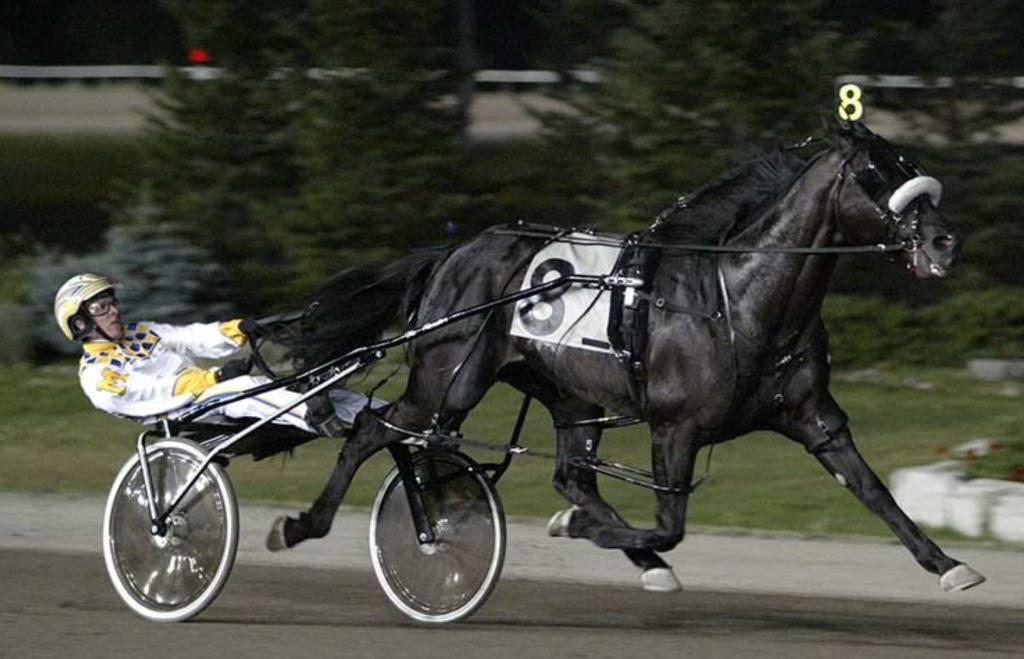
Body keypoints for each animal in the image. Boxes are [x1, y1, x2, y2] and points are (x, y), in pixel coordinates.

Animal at [266, 120, 984, 594]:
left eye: (909, 162)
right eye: (875, 173)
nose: (945, 240)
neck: (742, 298)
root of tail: (453, 252)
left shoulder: (814, 417)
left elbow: (872, 490)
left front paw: (950, 565)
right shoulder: (675, 426)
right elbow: (669, 523)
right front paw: (575, 532)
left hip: (570, 396)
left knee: (568, 475)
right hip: (451, 379)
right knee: (375, 428)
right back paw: (302, 525)